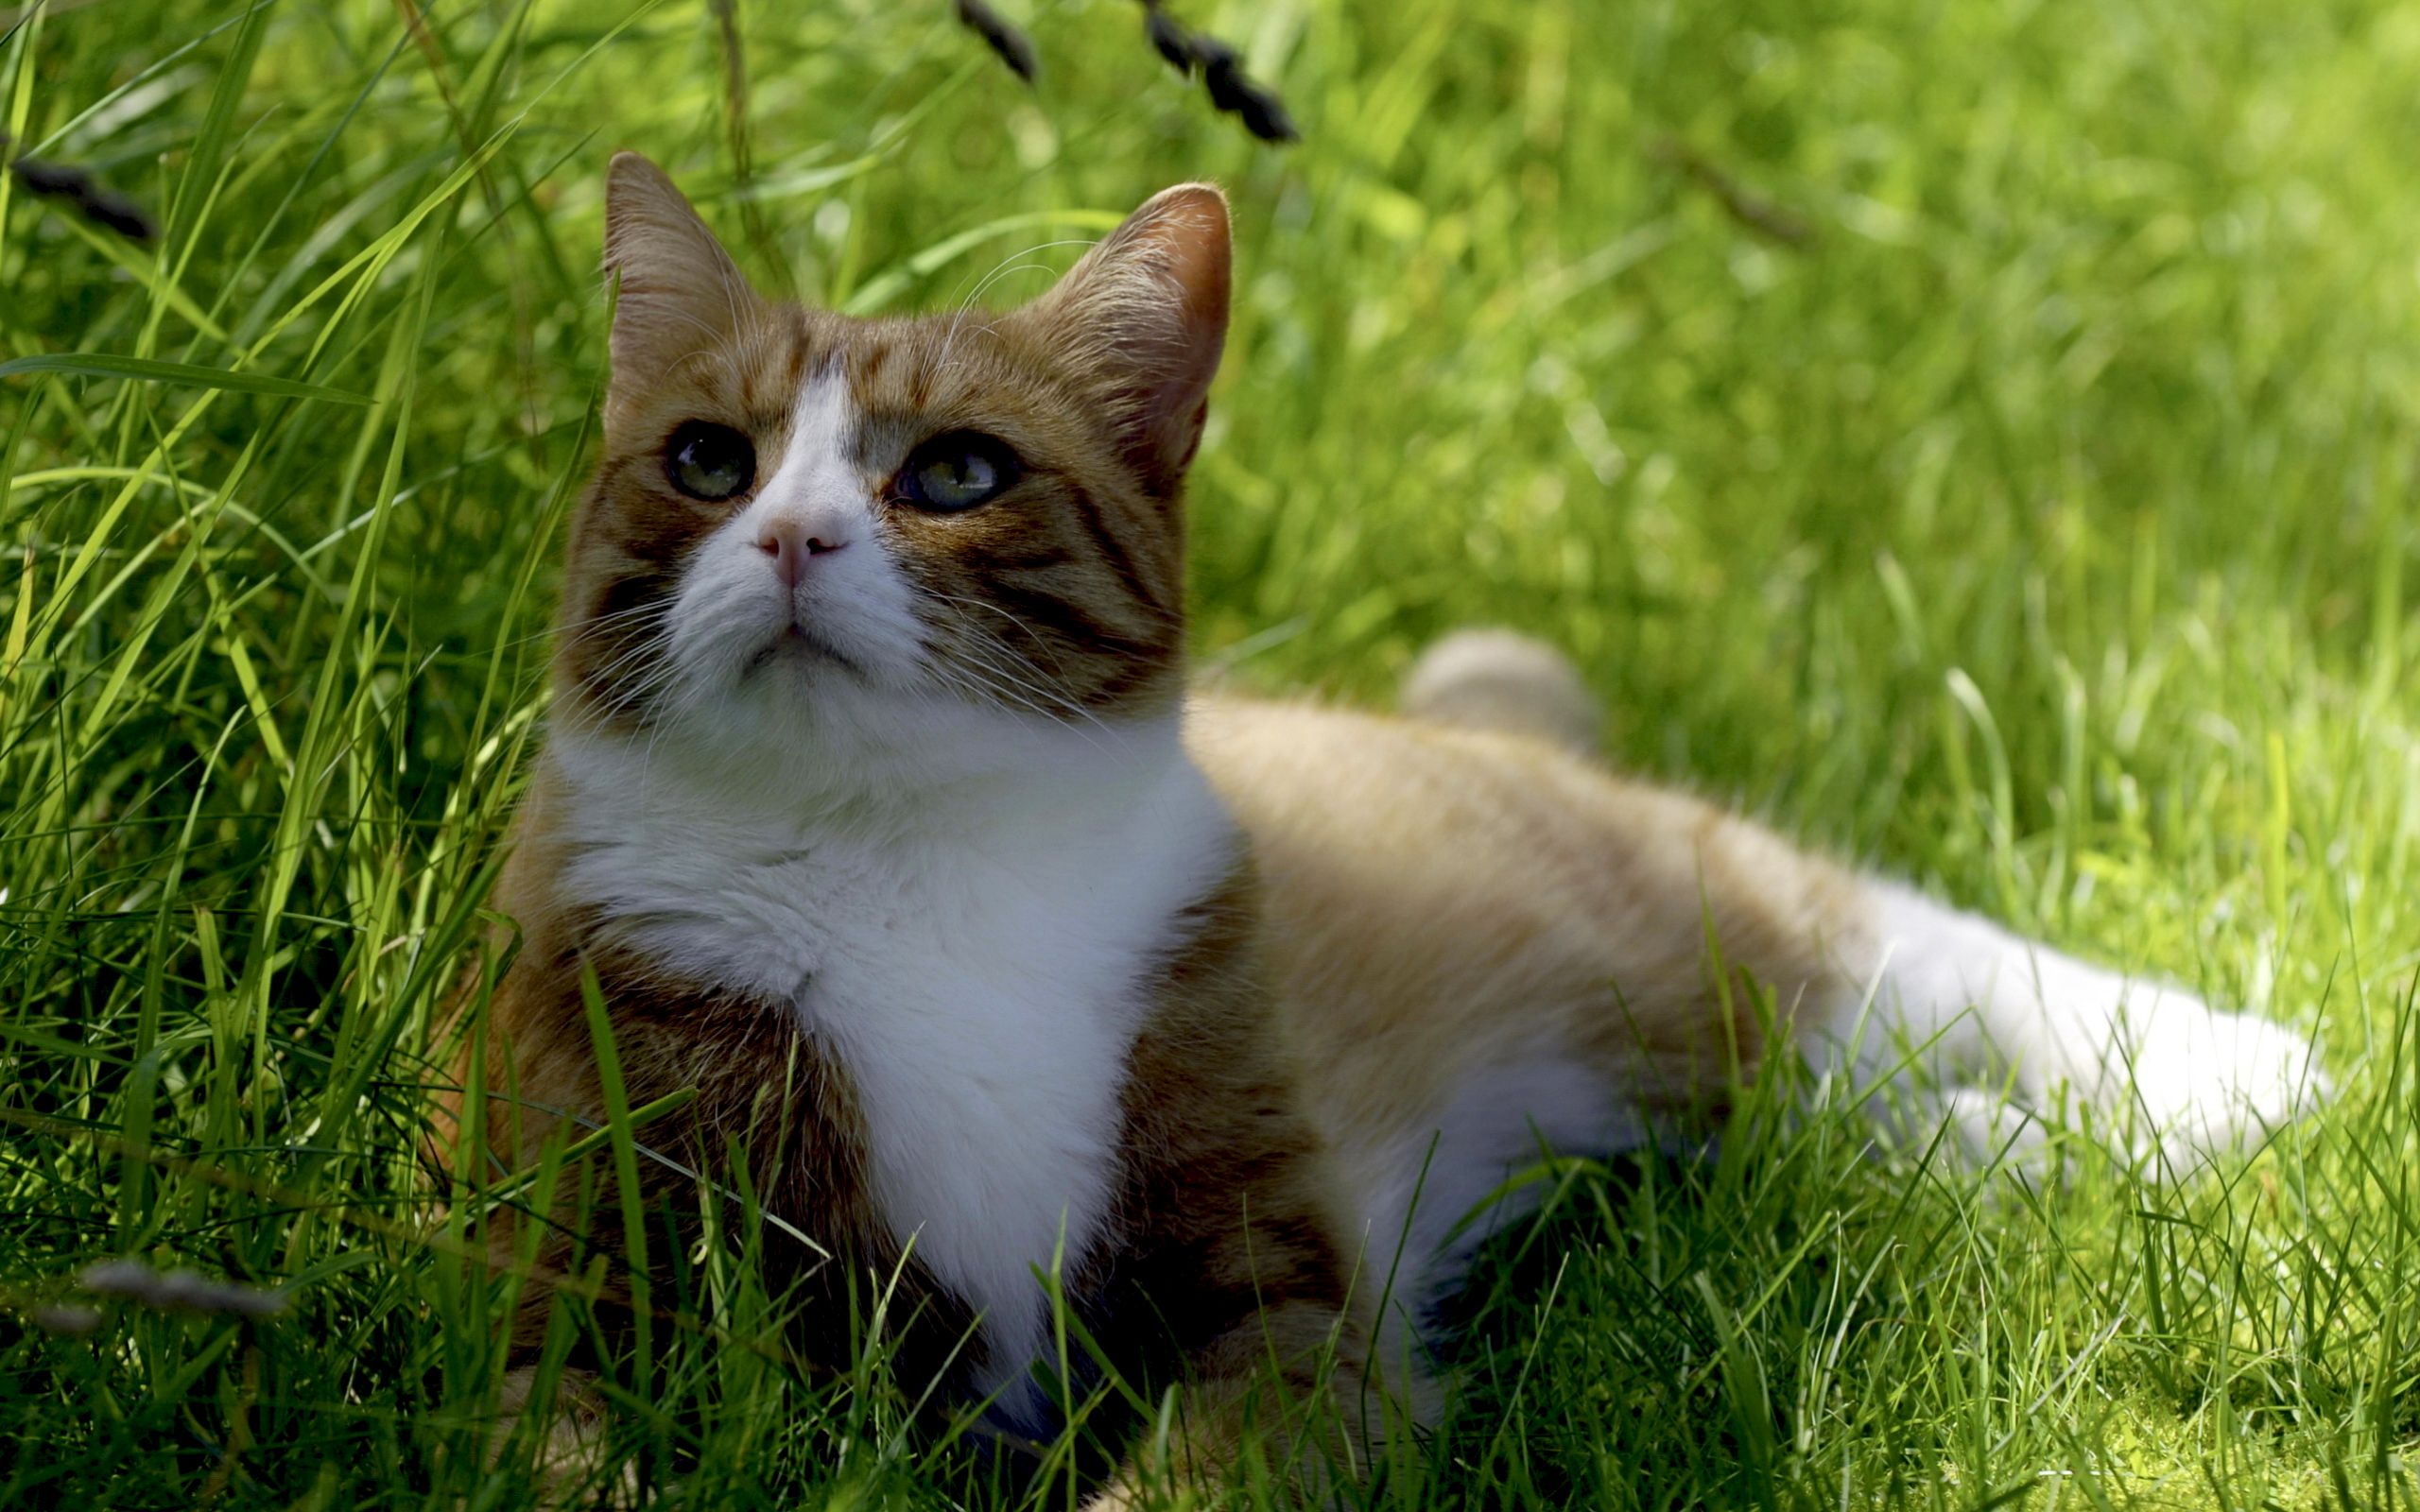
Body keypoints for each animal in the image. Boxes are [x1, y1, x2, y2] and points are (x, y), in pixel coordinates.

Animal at [455, 153, 2323, 1500]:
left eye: (958, 475)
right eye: (709, 460)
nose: (787, 540)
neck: (895, 863)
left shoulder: (1284, 1303)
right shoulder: (569, 1288)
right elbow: (550, 1436)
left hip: (1692, 924)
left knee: (1909, 945)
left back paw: (2250, 1078)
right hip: (1714, 1083)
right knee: (1826, 1110)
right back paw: (2002, 1148)